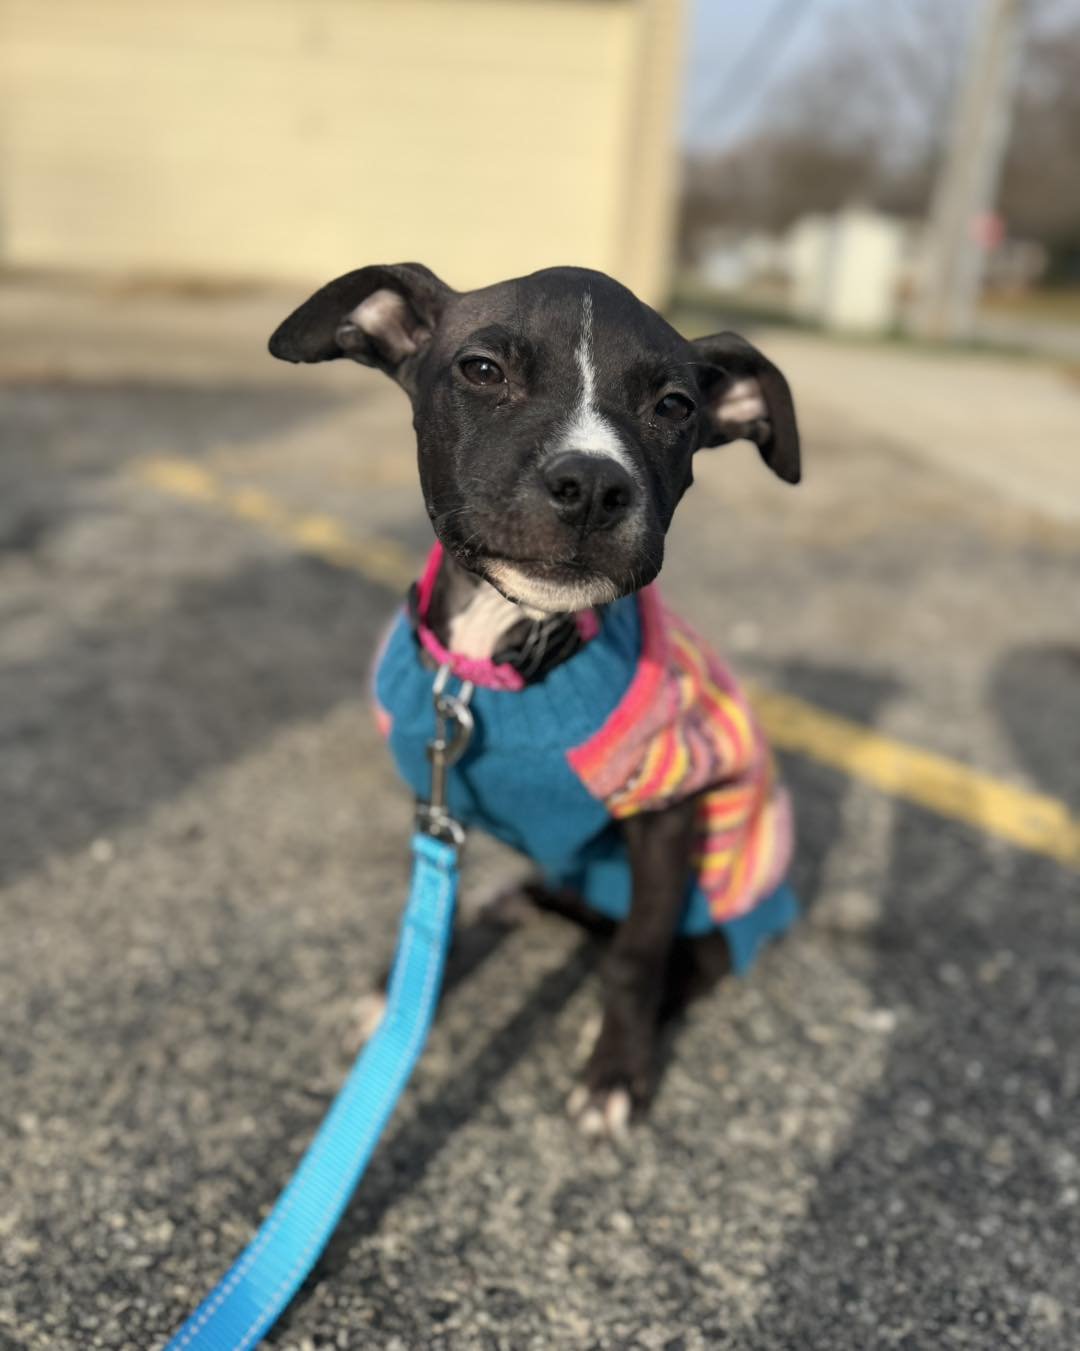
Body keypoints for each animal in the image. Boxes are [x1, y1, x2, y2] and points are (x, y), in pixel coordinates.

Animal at [269, 264, 801, 1138]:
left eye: (675, 406)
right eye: (482, 370)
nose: (593, 485)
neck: (504, 655)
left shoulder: (669, 815)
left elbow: (636, 956)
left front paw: (615, 1070)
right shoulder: (436, 796)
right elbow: (429, 912)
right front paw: (397, 995)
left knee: (683, 954)